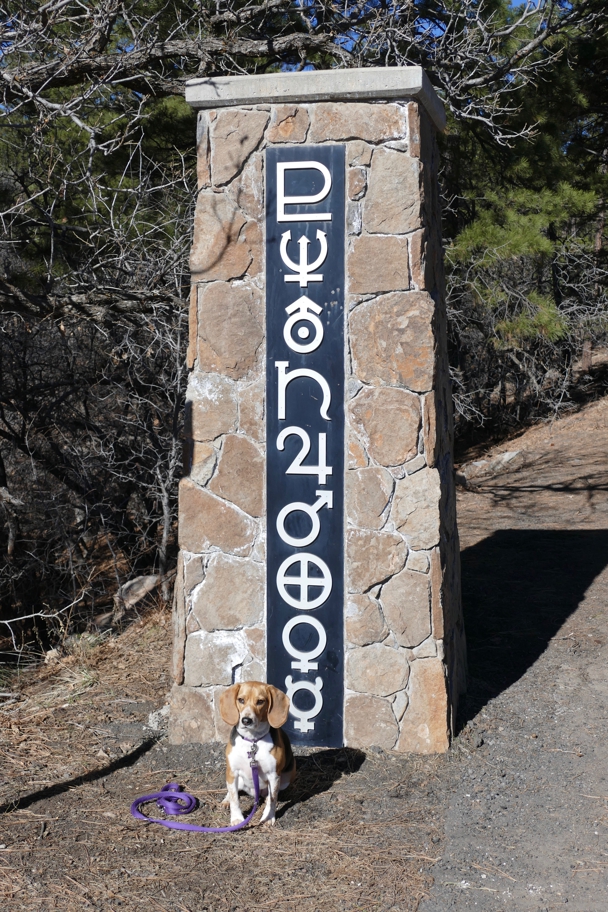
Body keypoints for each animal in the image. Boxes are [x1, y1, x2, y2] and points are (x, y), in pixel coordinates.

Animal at [221, 684, 296, 828]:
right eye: (241, 700)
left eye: (260, 701)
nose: (246, 720)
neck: (252, 740)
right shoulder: (232, 771)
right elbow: (234, 798)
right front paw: (237, 819)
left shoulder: (274, 775)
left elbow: (273, 799)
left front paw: (268, 817)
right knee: (232, 791)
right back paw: (226, 800)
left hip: (285, 779)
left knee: (270, 795)